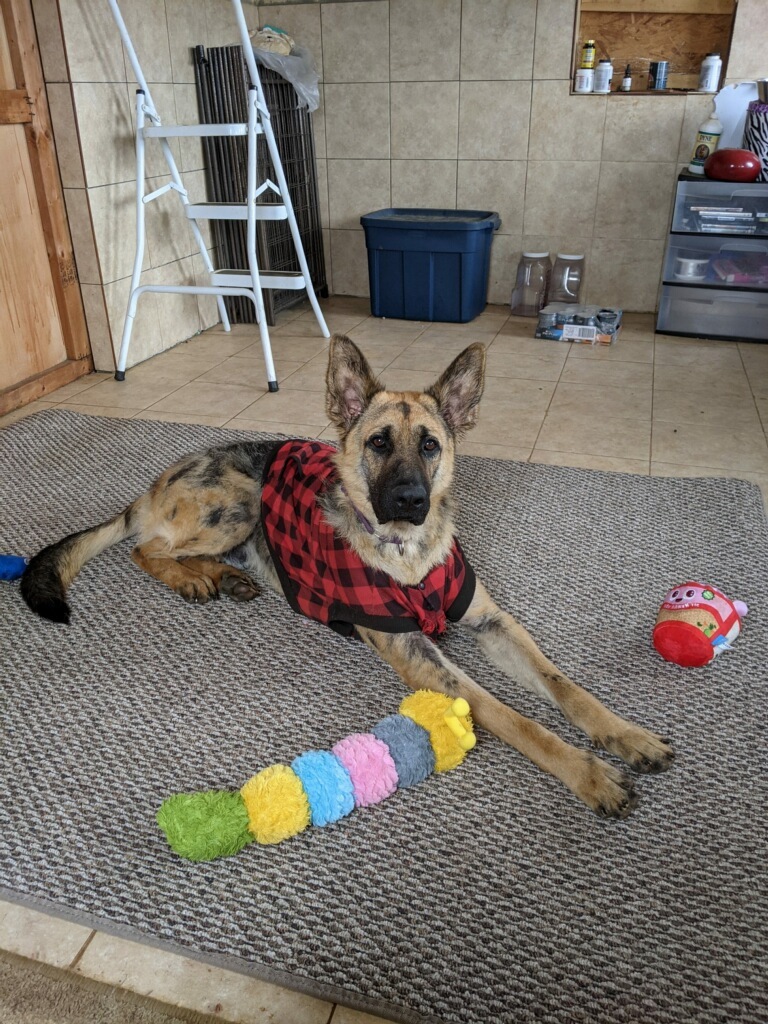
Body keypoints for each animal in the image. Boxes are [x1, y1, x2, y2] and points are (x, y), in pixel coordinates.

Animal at [19, 335, 671, 815]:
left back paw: (224, 577)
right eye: (378, 443)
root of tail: (157, 482)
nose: (410, 501)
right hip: (237, 500)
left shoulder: (492, 622)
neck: (408, 552)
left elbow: (564, 686)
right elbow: (516, 718)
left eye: (430, 446)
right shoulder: (419, 656)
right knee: (146, 547)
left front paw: (624, 734)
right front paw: (589, 773)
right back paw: (192, 577)